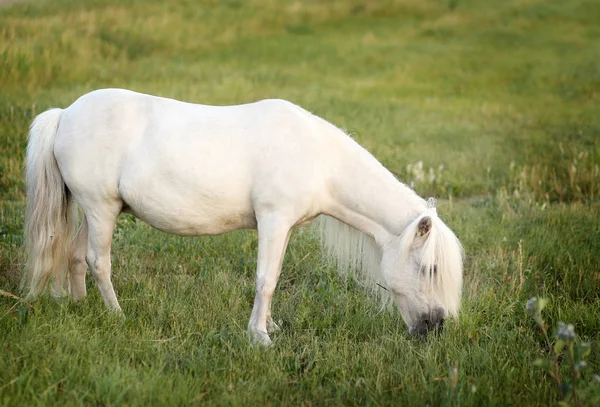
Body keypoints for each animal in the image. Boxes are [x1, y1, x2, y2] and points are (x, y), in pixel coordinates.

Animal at [23, 88, 464, 344]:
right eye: (429, 269)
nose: (436, 326)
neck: (316, 157)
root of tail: (66, 113)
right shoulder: (273, 220)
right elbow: (266, 280)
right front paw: (259, 337)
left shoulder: (283, 228)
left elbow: (273, 278)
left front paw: (268, 327)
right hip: (100, 209)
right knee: (99, 261)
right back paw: (117, 316)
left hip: (97, 210)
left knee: (75, 254)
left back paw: (82, 306)